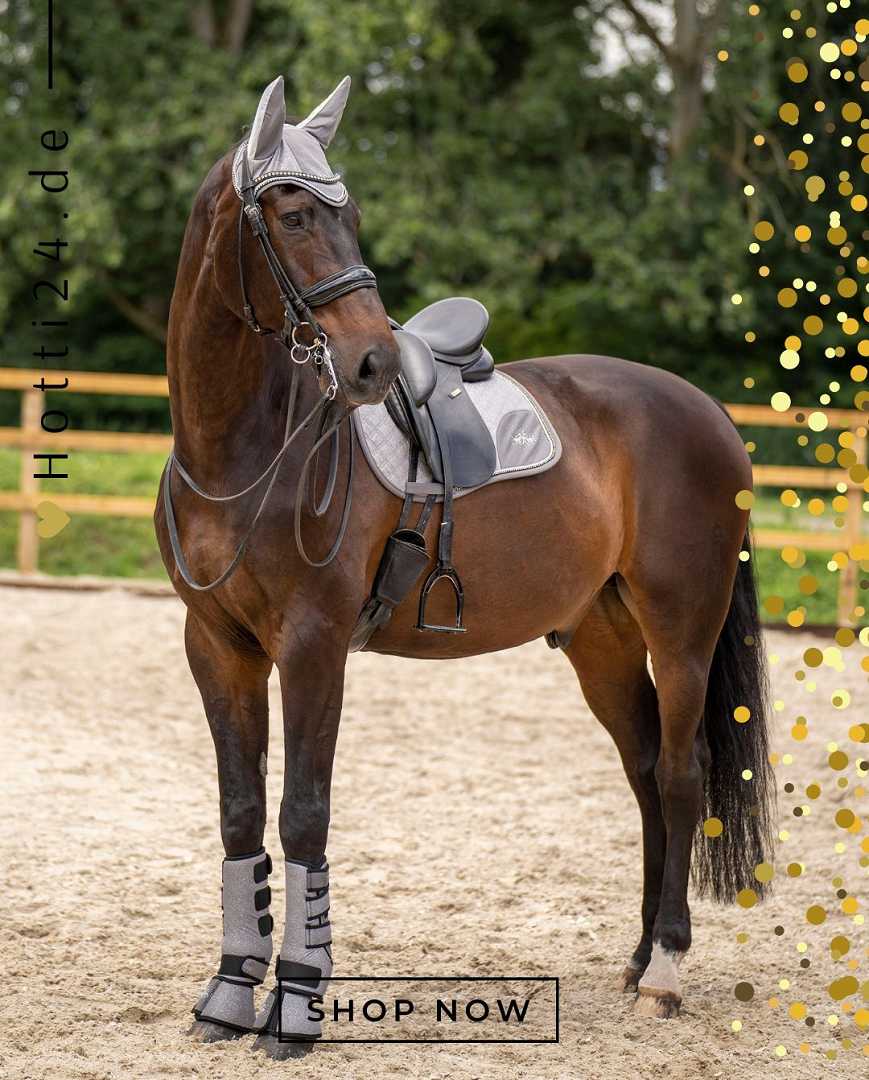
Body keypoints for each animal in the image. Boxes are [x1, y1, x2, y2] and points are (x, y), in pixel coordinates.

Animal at [154, 76, 772, 1057]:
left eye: (350, 216)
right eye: (293, 214)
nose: (369, 361)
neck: (243, 454)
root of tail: (705, 411)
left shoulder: (312, 646)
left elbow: (302, 813)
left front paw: (295, 1007)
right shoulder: (215, 645)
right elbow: (240, 813)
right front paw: (227, 993)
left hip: (683, 631)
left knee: (679, 775)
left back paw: (666, 971)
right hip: (601, 639)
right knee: (643, 773)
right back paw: (638, 956)